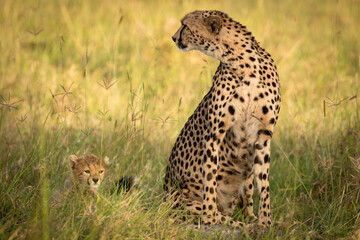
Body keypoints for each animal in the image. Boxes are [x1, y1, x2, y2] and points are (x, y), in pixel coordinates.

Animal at [164, 10, 282, 228]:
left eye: (185, 26)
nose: (173, 38)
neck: (244, 64)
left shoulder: (263, 135)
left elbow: (264, 183)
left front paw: (266, 222)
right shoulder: (214, 133)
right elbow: (209, 177)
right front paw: (210, 217)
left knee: (246, 203)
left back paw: (250, 218)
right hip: (178, 200)